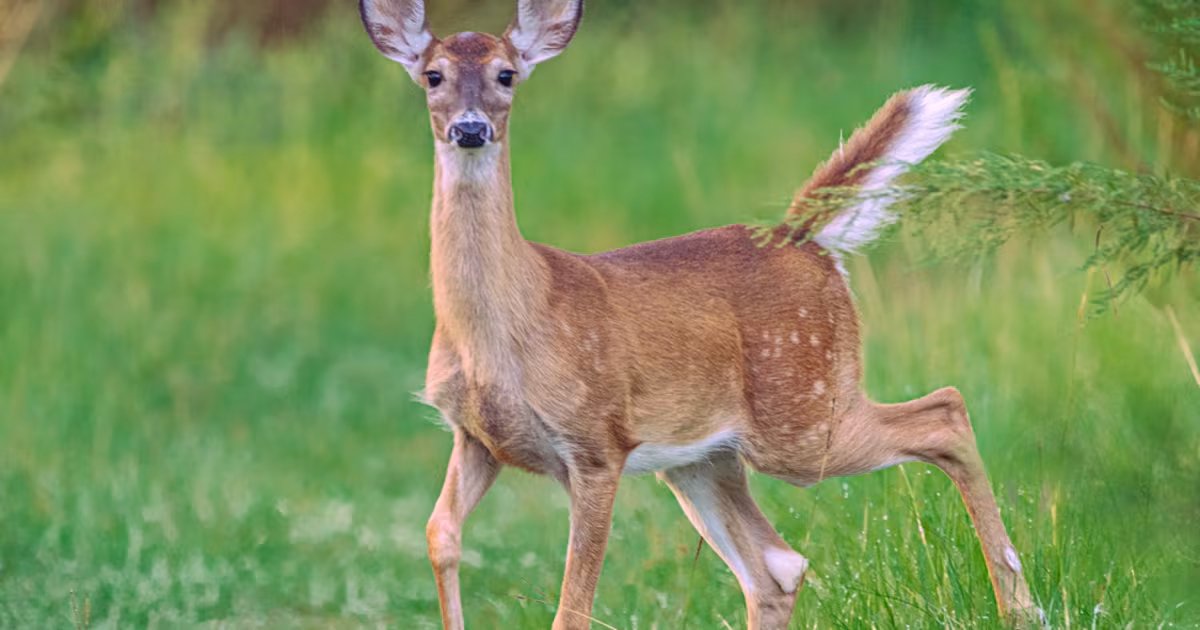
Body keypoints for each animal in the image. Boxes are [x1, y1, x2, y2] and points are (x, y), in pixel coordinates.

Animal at [358, 0, 1042, 628]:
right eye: (433, 76)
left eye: (506, 74)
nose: (470, 129)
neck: (503, 328)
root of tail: (804, 237)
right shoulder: (474, 436)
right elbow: (440, 534)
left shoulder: (598, 441)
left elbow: (573, 605)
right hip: (704, 456)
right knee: (778, 566)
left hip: (801, 414)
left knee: (945, 412)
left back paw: (1021, 607)